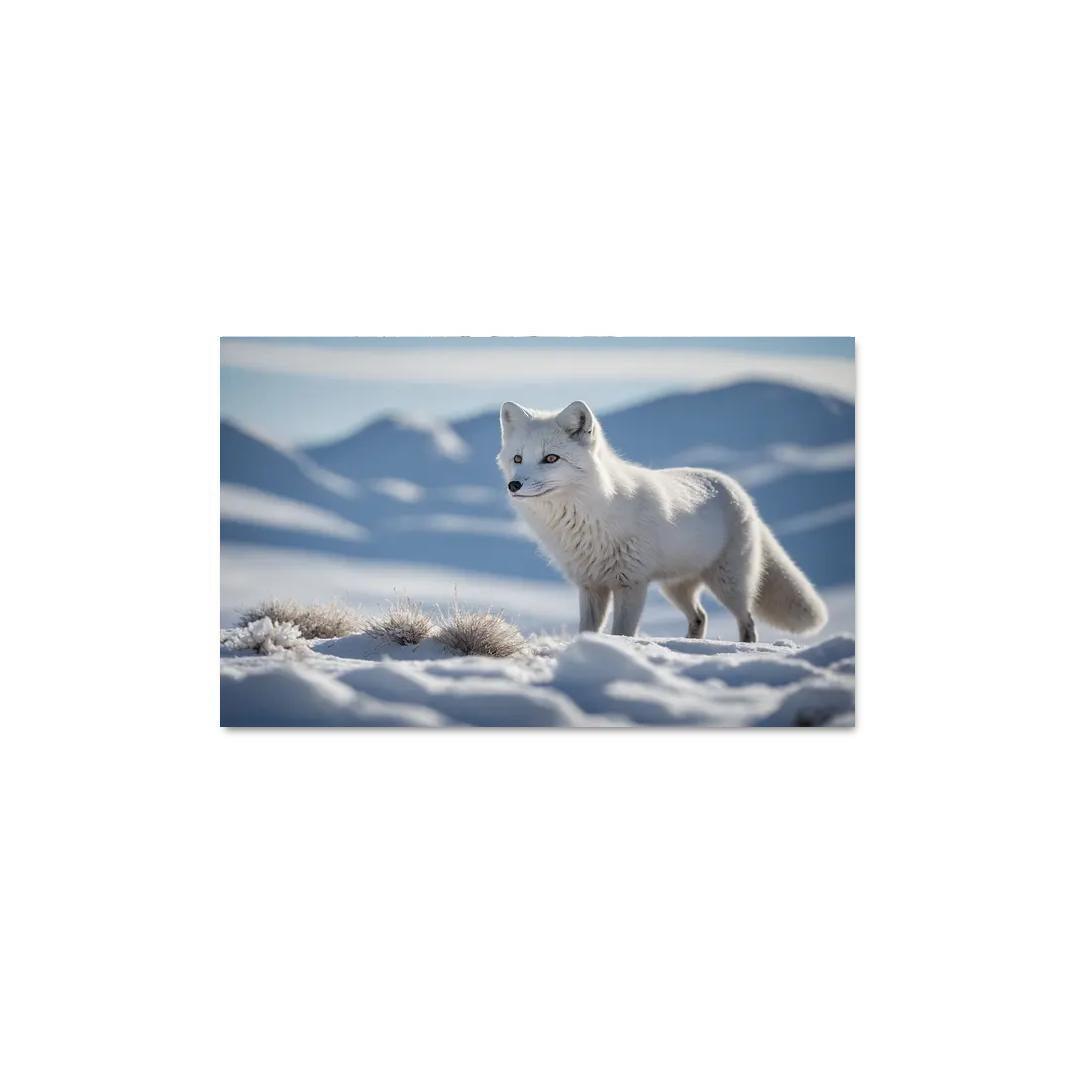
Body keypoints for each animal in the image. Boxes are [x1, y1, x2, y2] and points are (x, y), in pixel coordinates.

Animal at [497, 400, 828, 642]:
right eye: (517, 458)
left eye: (551, 458)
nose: (514, 485)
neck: (590, 517)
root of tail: (734, 487)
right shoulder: (591, 585)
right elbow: (588, 630)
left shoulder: (631, 583)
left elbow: (622, 633)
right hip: (676, 587)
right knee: (700, 616)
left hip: (730, 583)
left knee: (747, 621)